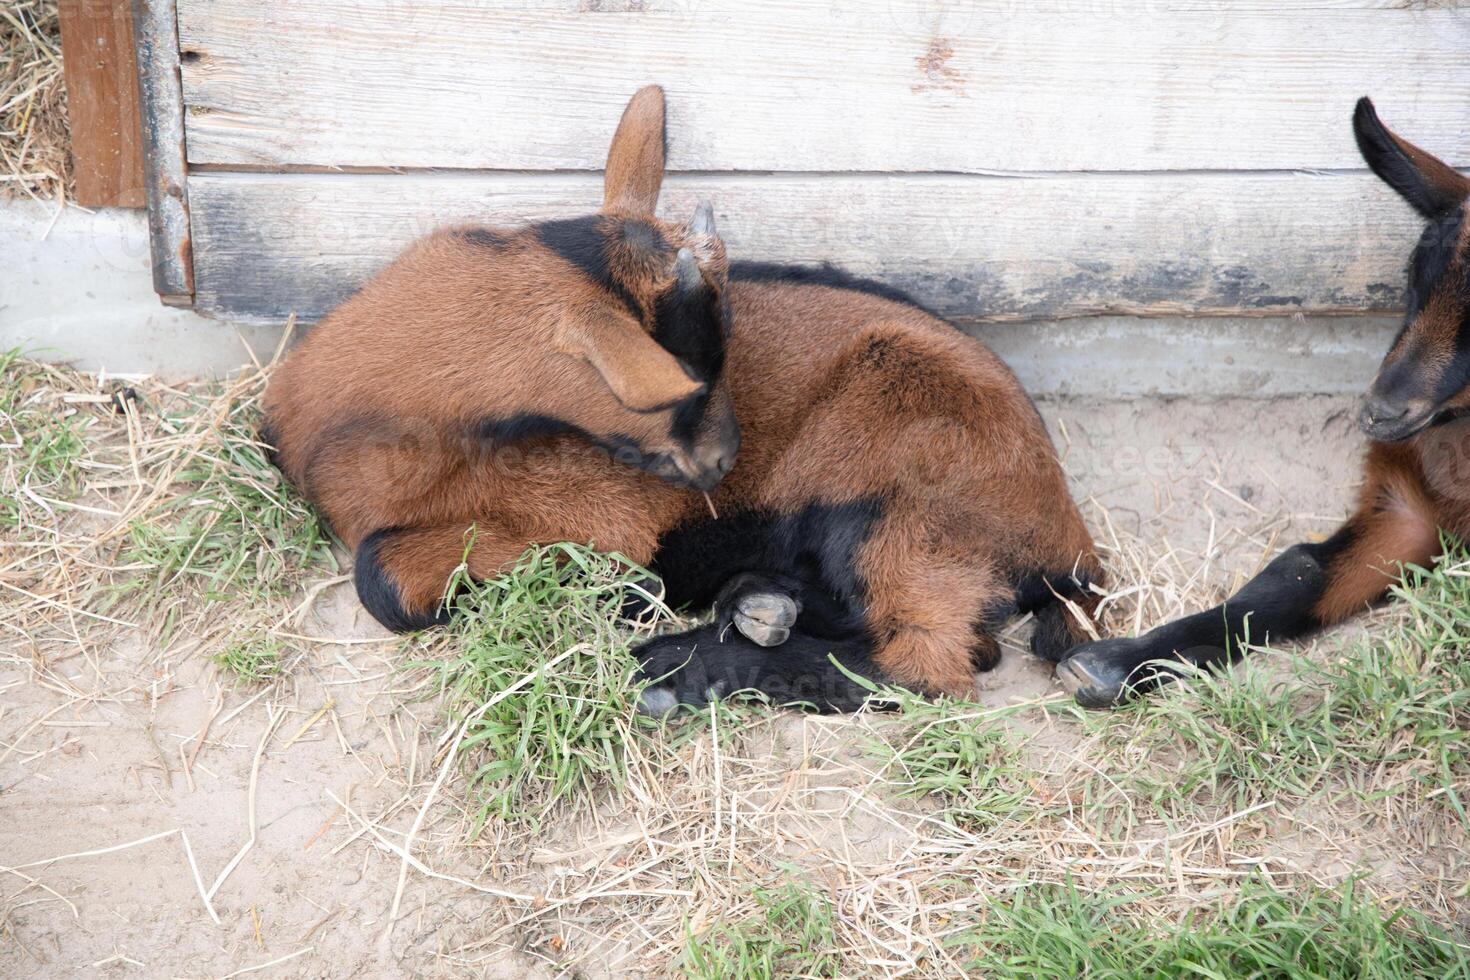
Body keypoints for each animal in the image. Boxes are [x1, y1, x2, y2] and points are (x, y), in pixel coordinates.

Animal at [261, 86, 1105, 714]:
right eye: (671, 388)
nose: (725, 461)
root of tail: (1067, 537)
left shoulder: (600, 520)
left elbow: (381, 578)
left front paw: (632, 598)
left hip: (901, 497)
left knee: (929, 659)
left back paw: (675, 669)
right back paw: (754, 606)